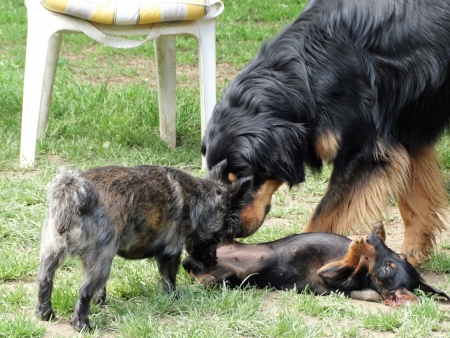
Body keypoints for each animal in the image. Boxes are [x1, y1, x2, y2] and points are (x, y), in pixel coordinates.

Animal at [34, 162, 253, 332]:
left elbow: (100, 289)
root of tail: (73, 193)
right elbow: (169, 279)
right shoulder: (171, 252)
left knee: (46, 282)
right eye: (219, 238)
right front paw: (174, 298)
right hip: (101, 263)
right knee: (83, 292)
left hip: (52, 255)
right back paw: (82, 325)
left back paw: (45, 314)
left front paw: (101, 300)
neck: (196, 197)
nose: (213, 260)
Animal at [183, 220, 450, 308]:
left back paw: (205, 277)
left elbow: (353, 260)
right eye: (401, 256)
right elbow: (364, 254)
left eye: (386, 270)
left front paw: (359, 247)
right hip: (217, 242)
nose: (371, 237)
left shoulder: (329, 274)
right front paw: (377, 233)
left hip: (229, 277)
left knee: (202, 276)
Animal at [202, 0, 450, 266]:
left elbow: (321, 215)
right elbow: (415, 204)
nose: (234, 231)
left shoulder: (365, 152)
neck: (308, 71)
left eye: (244, 179)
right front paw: (410, 256)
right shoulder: (407, 128)